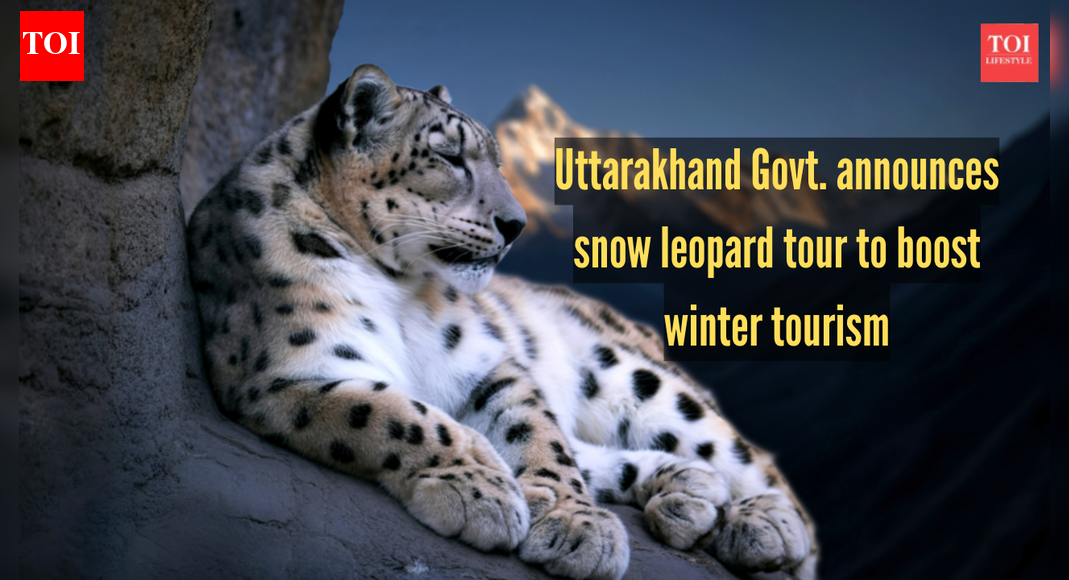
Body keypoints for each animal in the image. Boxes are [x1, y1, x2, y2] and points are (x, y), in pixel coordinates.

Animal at [186, 64, 819, 580]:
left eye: (496, 160)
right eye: (448, 156)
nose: (516, 224)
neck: (396, 287)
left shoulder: (486, 364)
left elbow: (537, 434)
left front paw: (573, 525)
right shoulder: (292, 372)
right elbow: (398, 414)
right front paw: (484, 492)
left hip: (637, 379)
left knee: (754, 464)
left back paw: (757, 523)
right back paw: (689, 491)